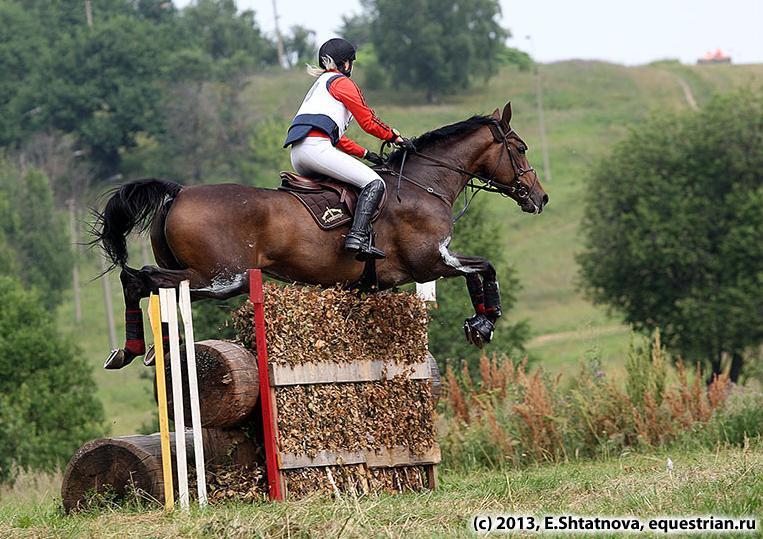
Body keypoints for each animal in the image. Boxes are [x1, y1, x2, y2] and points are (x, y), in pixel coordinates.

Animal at [94, 102, 548, 369]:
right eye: (521, 148)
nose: (540, 198)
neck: (424, 183)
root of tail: (180, 191)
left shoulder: (407, 272)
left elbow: (478, 272)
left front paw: (480, 324)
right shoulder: (430, 261)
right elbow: (484, 268)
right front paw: (483, 323)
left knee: (145, 284)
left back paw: (136, 351)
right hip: (224, 278)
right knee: (140, 278)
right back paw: (135, 349)